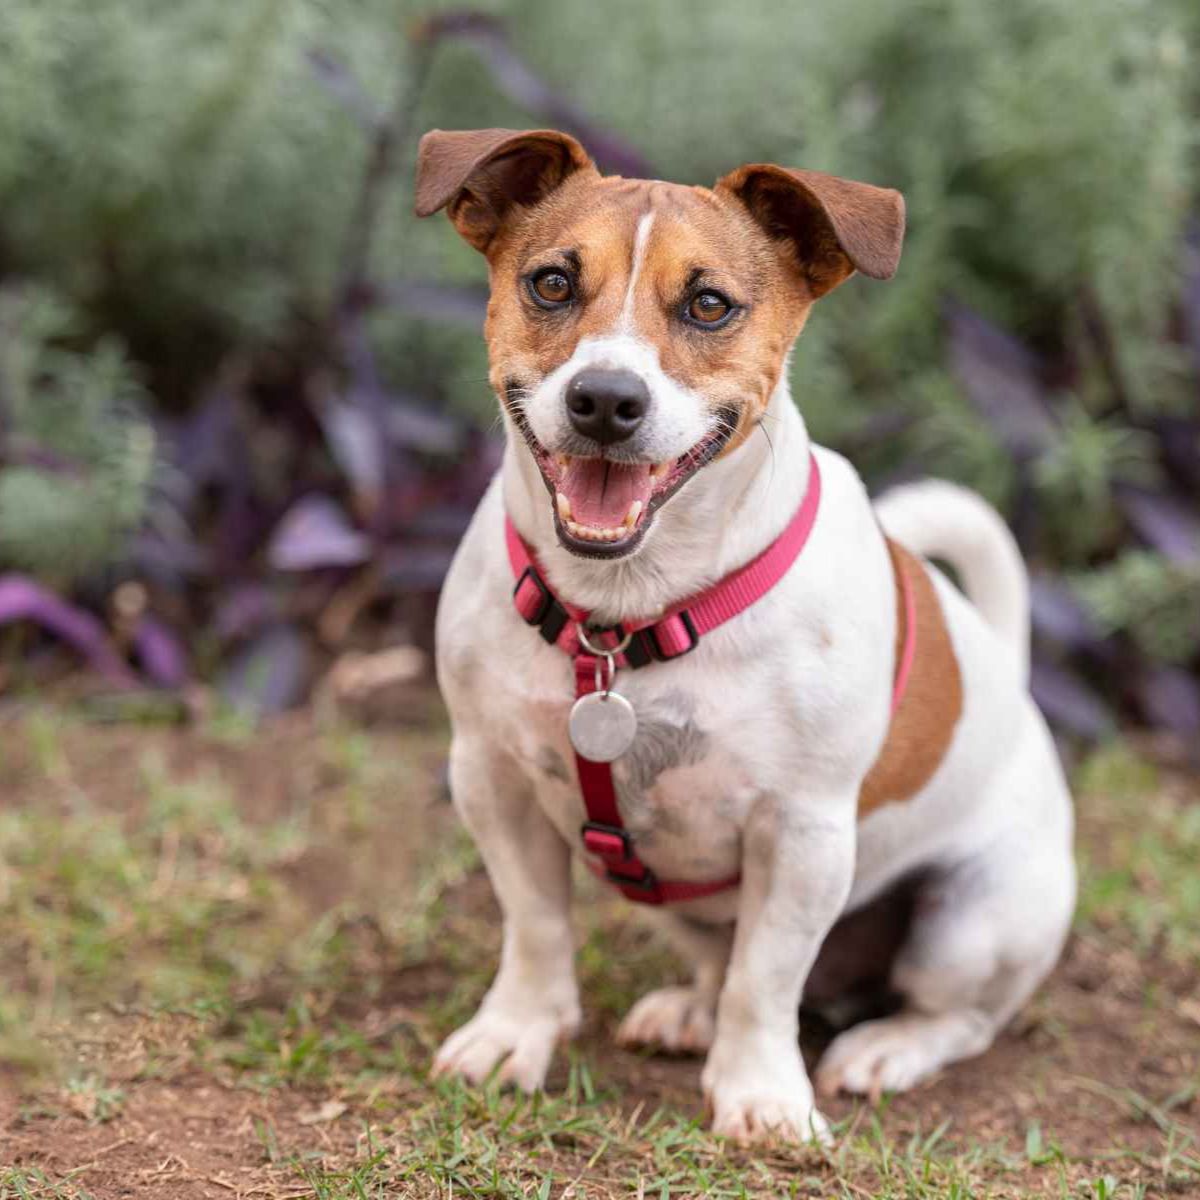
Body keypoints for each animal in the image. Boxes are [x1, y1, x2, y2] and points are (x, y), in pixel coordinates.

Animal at [415, 129, 1080, 1142]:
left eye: (709, 304)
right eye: (552, 284)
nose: (605, 400)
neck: (624, 618)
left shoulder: (803, 834)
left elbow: (766, 981)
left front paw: (761, 1094)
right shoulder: (491, 778)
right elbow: (536, 927)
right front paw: (516, 1033)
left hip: (970, 922)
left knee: (954, 1015)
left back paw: (886, 1048)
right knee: (715, 961)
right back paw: (689, 1010)